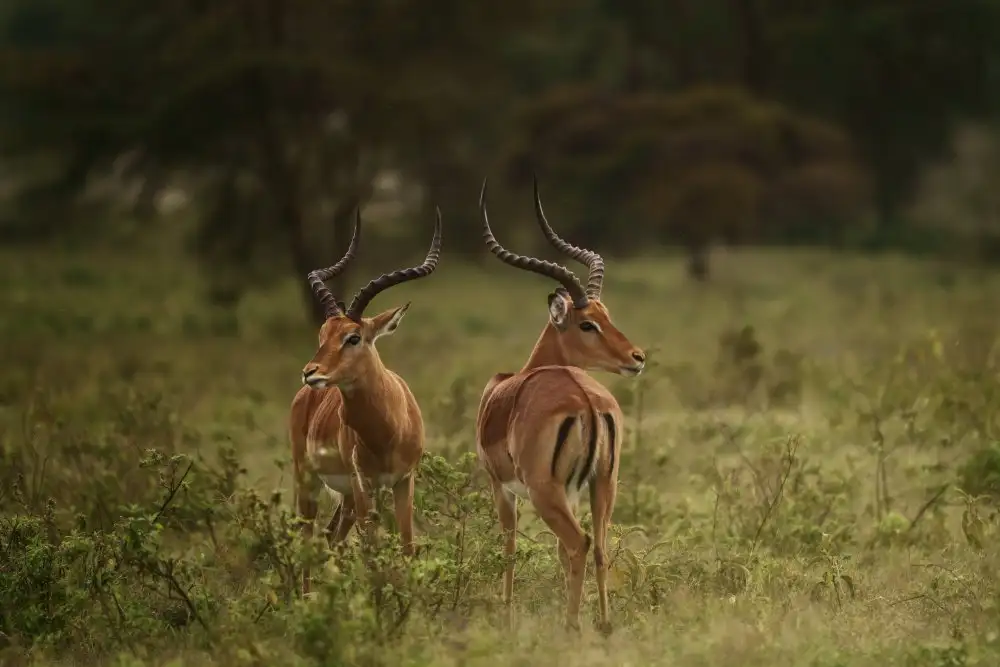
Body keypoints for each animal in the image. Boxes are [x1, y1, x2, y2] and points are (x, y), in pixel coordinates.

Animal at [290, 207, 442, 595]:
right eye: (323, 334)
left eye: (353, 337)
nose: (310, 372)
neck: (386, 430)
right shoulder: (364, 483)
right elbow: (371, 548)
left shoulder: (404, 480)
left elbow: (406, 545)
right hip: (309, 479)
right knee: (308, 537)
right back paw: (307, 596)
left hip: (343, 495)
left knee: (330, 537)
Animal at [475, 177, 646, 633]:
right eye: (589, 322)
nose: (637, 357)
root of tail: (586, 400)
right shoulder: (573, 491)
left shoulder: (501, 486)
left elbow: (509, 545)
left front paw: (506, 613)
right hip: (604, 483)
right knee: (599, 546)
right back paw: (604, 625)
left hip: (544, 490)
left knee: (580, 542)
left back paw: (572, 626)